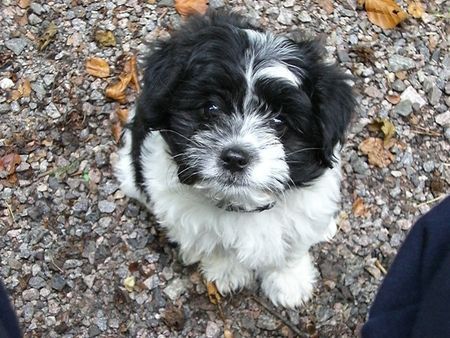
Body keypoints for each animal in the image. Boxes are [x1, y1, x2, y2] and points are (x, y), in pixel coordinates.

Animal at [116, 10, 356, 308]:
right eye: (211, 108)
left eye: (279, 121)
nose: (234, 158)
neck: (242, 205)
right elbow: (213, 246)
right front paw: (227, 272)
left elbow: (291, 250)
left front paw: (289, 280)